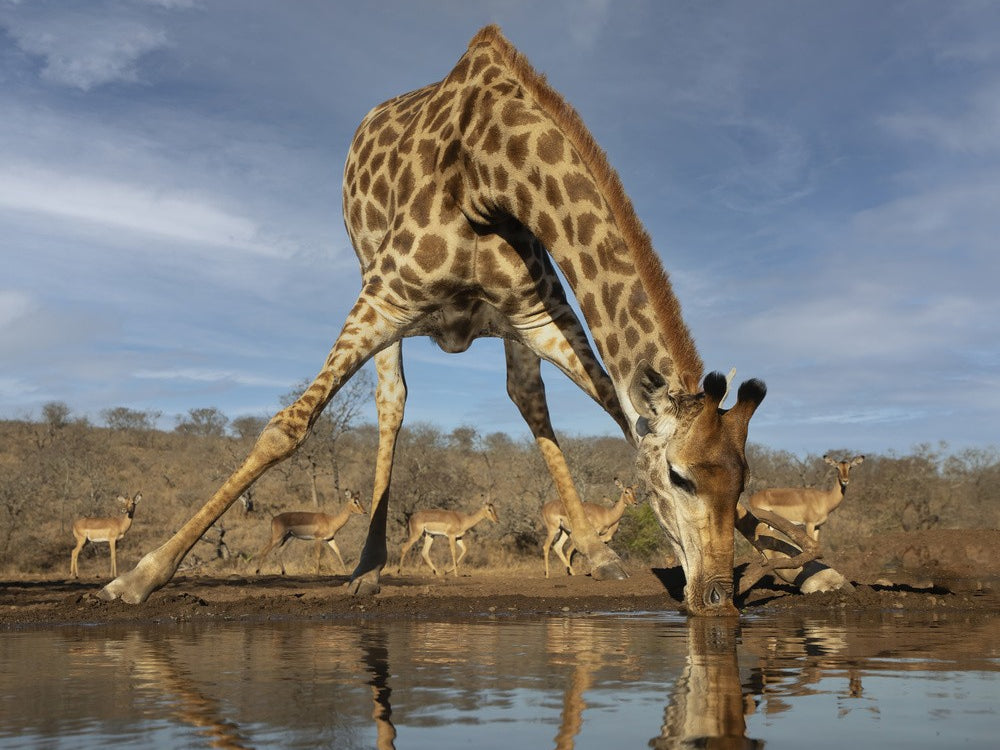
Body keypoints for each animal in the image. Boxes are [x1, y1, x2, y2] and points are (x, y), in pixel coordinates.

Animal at [99, 25, 765, 615]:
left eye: (743, 481)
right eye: (679, 478)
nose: (716, 599)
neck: (492, 172)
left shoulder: (540, 314)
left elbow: (615, 407)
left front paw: (779, 556)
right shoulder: (387, 296)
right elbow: (287, 427)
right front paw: (138, 578)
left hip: (508, 330)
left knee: (527, 398)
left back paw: (595, 553)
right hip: (373, 284)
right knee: (391, 402)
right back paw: (367, 569)